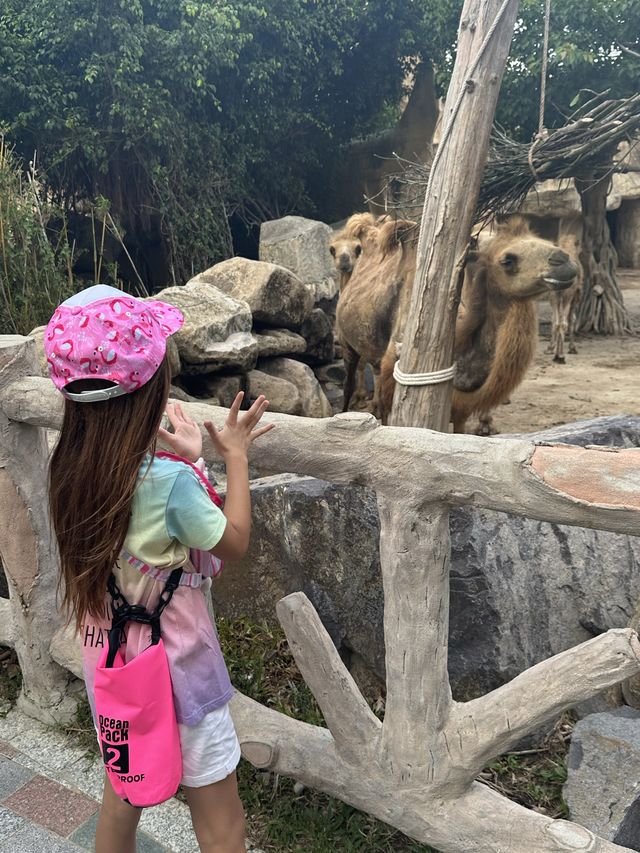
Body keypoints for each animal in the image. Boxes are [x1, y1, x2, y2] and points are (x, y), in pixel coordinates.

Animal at [342, 215, 576, 432]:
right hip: (346, 344)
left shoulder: (461, 407)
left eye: (547, 240)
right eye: (507, 260)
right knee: (351, 378)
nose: (565, 261)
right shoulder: (393, 371)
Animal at [548, 233, 584, 362]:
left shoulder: (554, 295)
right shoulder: (577, 295)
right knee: (563, 322)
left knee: (557, 322)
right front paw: (573, 348)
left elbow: (554, 319)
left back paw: (556, 355)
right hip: (568, 294)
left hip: (555, 294)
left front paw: (550, 348)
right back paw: (561, 356)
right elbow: (572, 319)